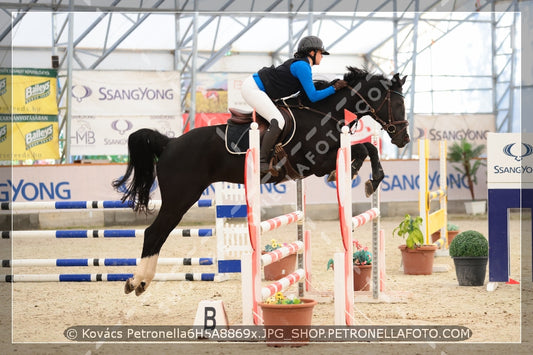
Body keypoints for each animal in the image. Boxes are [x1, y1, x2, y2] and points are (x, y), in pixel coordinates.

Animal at [114, 65, 410, 296]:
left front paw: (364, 176)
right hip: (180, 197)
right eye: (397, 104)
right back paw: (137, 282)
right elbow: (362, 149)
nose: (403, 139)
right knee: (154, 233)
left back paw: (140, 282)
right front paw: (366, 177)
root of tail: (170, 143)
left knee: (159, 233)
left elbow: (366, 149)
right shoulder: (315, 162)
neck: (323, 114)